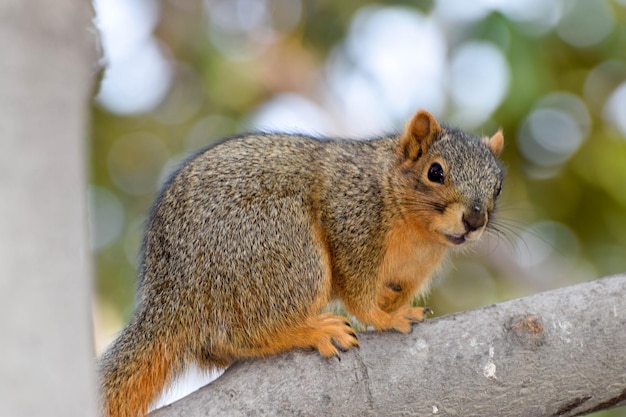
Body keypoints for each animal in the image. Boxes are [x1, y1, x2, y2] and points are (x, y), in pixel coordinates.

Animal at [100, 109, 504, 414]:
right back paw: (311, 330)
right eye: (435, 172)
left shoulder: (412, 271)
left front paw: (394, 307)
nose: (474, 219)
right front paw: (384, 318)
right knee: (250, 330)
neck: (420, 235)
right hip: (280, 246)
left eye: (498, 186)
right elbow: (357, 290)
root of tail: (171, 296)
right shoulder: (351, 219)